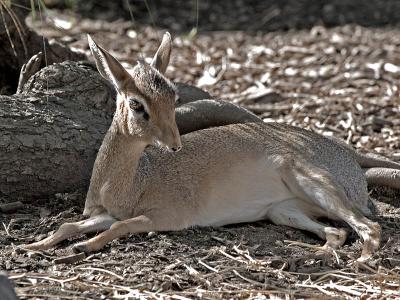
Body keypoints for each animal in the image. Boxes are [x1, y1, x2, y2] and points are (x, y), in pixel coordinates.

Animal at [25, 32, 400, 262]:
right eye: (136, 104)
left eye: (175, 97)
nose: (174, 145)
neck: (131, 183)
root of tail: (355, 175)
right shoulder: (105, 213)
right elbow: (67, 225)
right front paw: (33, 246)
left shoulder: (167, 216)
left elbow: (119, 228)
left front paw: (82, 247)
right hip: (282, 211)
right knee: (337, 232)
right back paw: (311, 254)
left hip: (313, 183)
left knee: (369, 227)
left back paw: (359, 261)